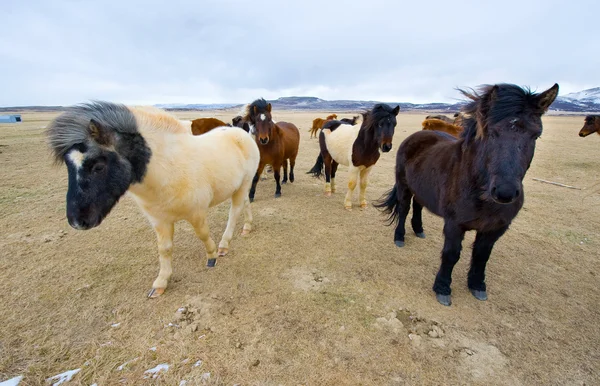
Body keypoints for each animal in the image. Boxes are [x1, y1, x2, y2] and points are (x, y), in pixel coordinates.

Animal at [45, 102, 262, 298]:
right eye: (68, 167)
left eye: (98, 166)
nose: (76, 221)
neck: (167, 168)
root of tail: (241, 134)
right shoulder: (160, 221)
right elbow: (164, 249)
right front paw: (161, 283)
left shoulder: (196, 213)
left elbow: (203, 234)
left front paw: (212, 256)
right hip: (241, 186)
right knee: (245, 204)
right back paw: (247, 227)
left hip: (243, 185)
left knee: (234, 213)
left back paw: (224, 244)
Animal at [378, 83, 560, 306]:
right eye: (491, 132)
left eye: (536, 135)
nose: (505, 192)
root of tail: (416, 135)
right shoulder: (455, 225)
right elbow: (451, 254)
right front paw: (443, 288)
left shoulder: (495, 228)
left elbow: (482, 256)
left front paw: (477, 285)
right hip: (404, 186)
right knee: (404, 209)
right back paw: (400, 237)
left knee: (418, 205)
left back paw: (419, 229)